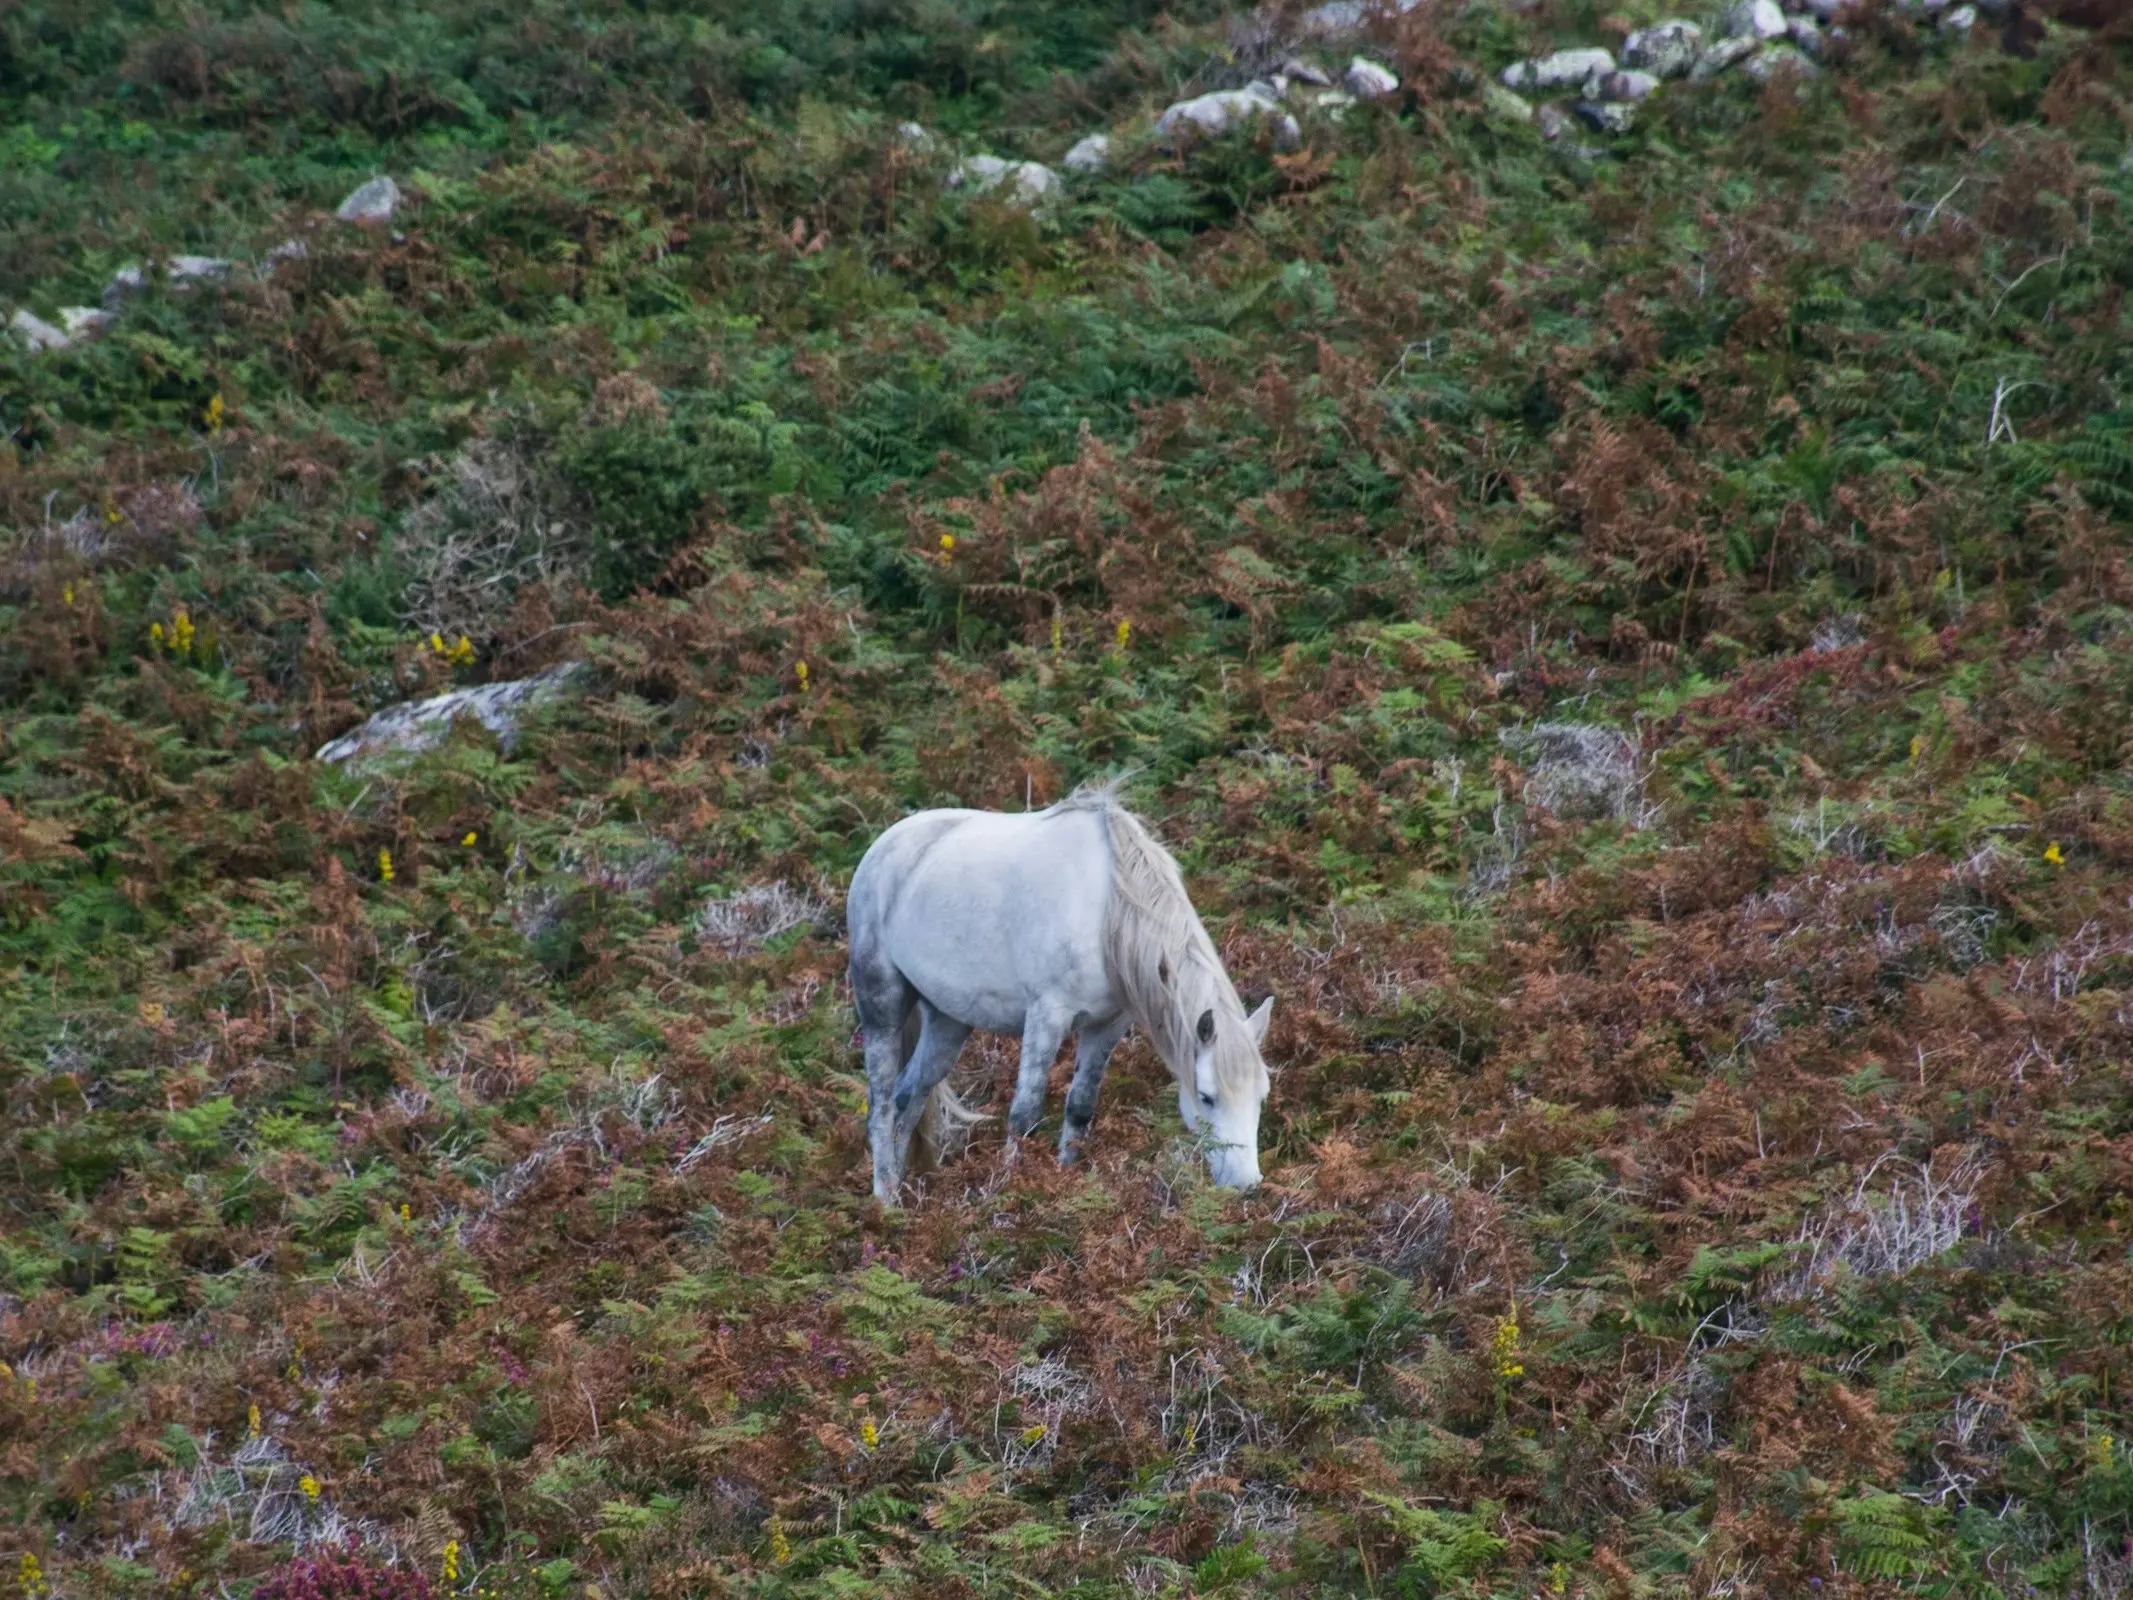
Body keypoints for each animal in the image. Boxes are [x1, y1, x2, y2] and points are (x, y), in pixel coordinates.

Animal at [844, 785, 1279, 1211]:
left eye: (1261, 1097)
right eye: (1207, 1097)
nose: (1246, 1184)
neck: (1107, 913)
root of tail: (885, 845)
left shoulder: (1107, 1026)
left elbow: (1080, 1107)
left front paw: (1065, 1181)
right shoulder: (1046, 1017)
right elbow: (1024, 1114)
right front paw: (1007, 1192)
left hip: (947, 1022)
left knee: (909, 1095)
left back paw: (902, 1193)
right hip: (880, 1005)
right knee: (881, 1103)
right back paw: (885, 1199)